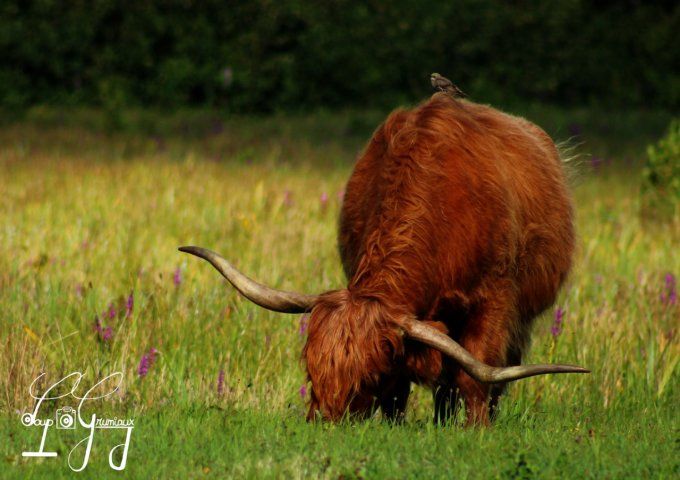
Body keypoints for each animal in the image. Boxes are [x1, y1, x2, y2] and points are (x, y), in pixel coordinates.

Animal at [180, 93, 588, 425]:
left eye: (368, 376)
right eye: (310, 369)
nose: (323, 422)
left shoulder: (493, 301)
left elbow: (476, 371)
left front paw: (477, 430)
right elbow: (407, 385)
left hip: (522, 316)